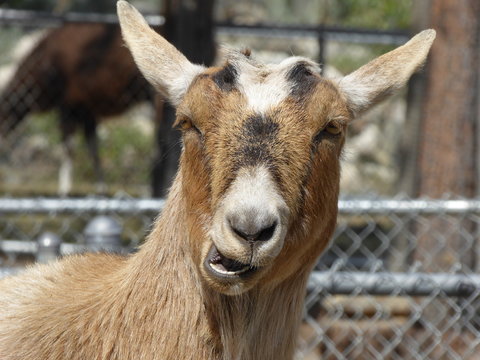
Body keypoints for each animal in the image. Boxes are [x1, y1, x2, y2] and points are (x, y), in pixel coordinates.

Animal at [0, 21, 152, 195]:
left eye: (2, 114)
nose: (2, 136)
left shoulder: (68, 106)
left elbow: (68, 148)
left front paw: (64, 190)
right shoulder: (87, 111)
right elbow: (93, 151)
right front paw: (101, 189)